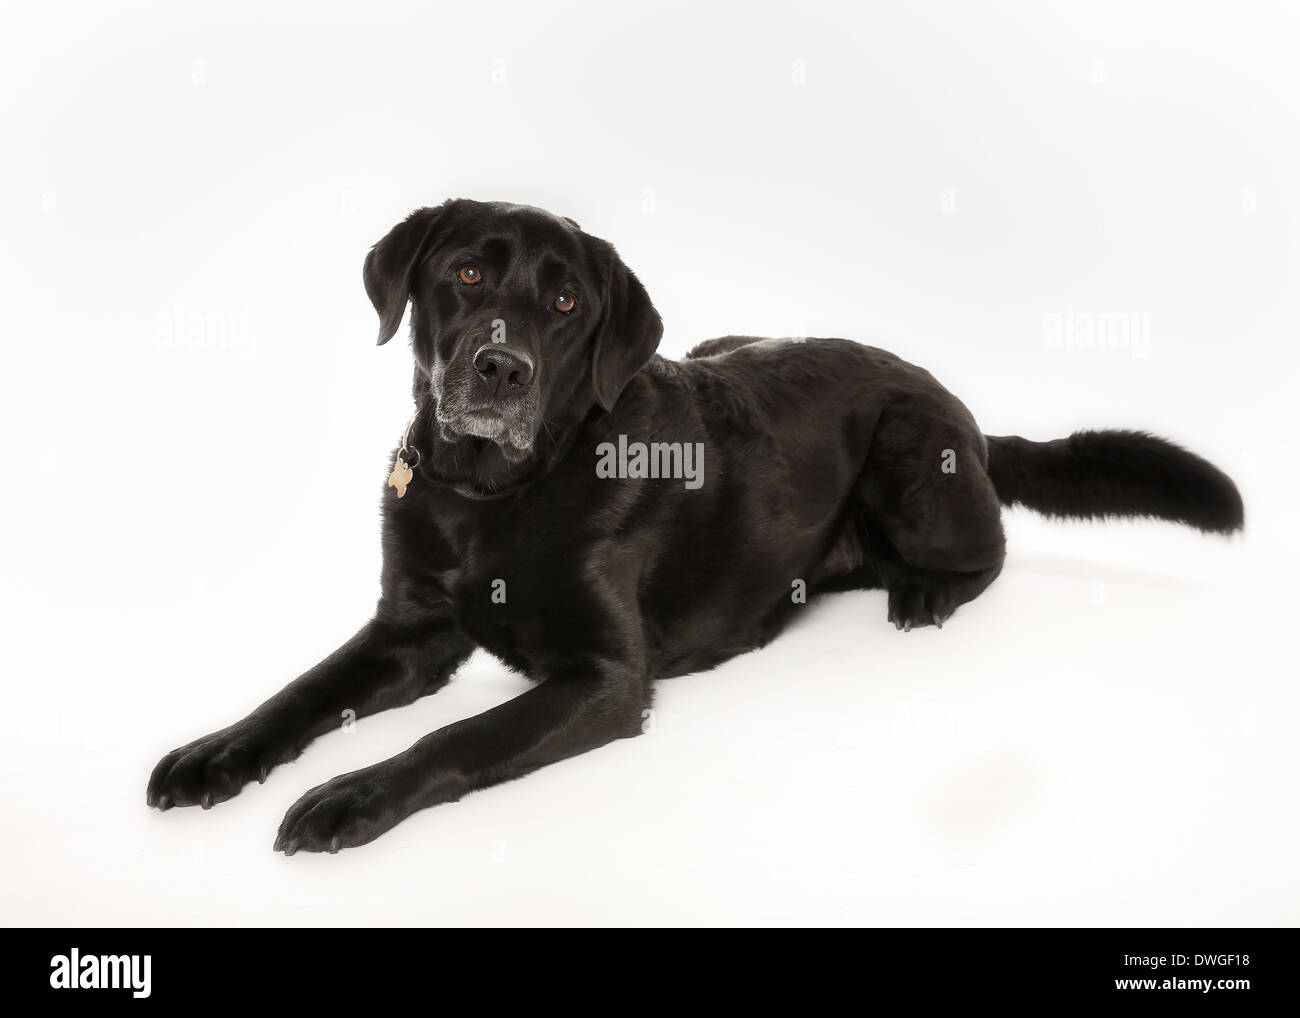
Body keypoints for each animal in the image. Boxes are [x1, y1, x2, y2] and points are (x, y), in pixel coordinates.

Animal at [147, 197, 1242, 852]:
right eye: (463, 274)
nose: (501, 368)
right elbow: (298, 692)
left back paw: (925, 589)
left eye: (565, 302)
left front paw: (349, 794)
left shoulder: (601, 680)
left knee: (991, 549)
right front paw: (216, 753)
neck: (491, 493)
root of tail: (956, 404)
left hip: (910, 453)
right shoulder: (405, 632)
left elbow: (451, 737)